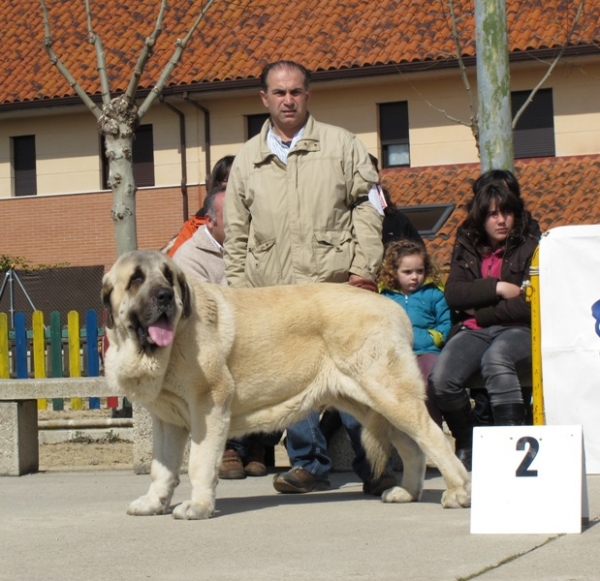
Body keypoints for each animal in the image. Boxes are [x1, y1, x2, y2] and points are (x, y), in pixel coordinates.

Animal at [102, 248, 468, 516]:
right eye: (136, 279)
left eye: (168, 278)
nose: (165, 296)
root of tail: (394, 308)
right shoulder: (167, 419)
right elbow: (162, 468)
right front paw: (154, 503)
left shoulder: (208, 407)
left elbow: (199, 464)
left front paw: (199, 506)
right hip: (370, 403)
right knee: (412, 446)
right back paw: (407, 492)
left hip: (389, 393)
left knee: (432, 437)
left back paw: (458, 492)